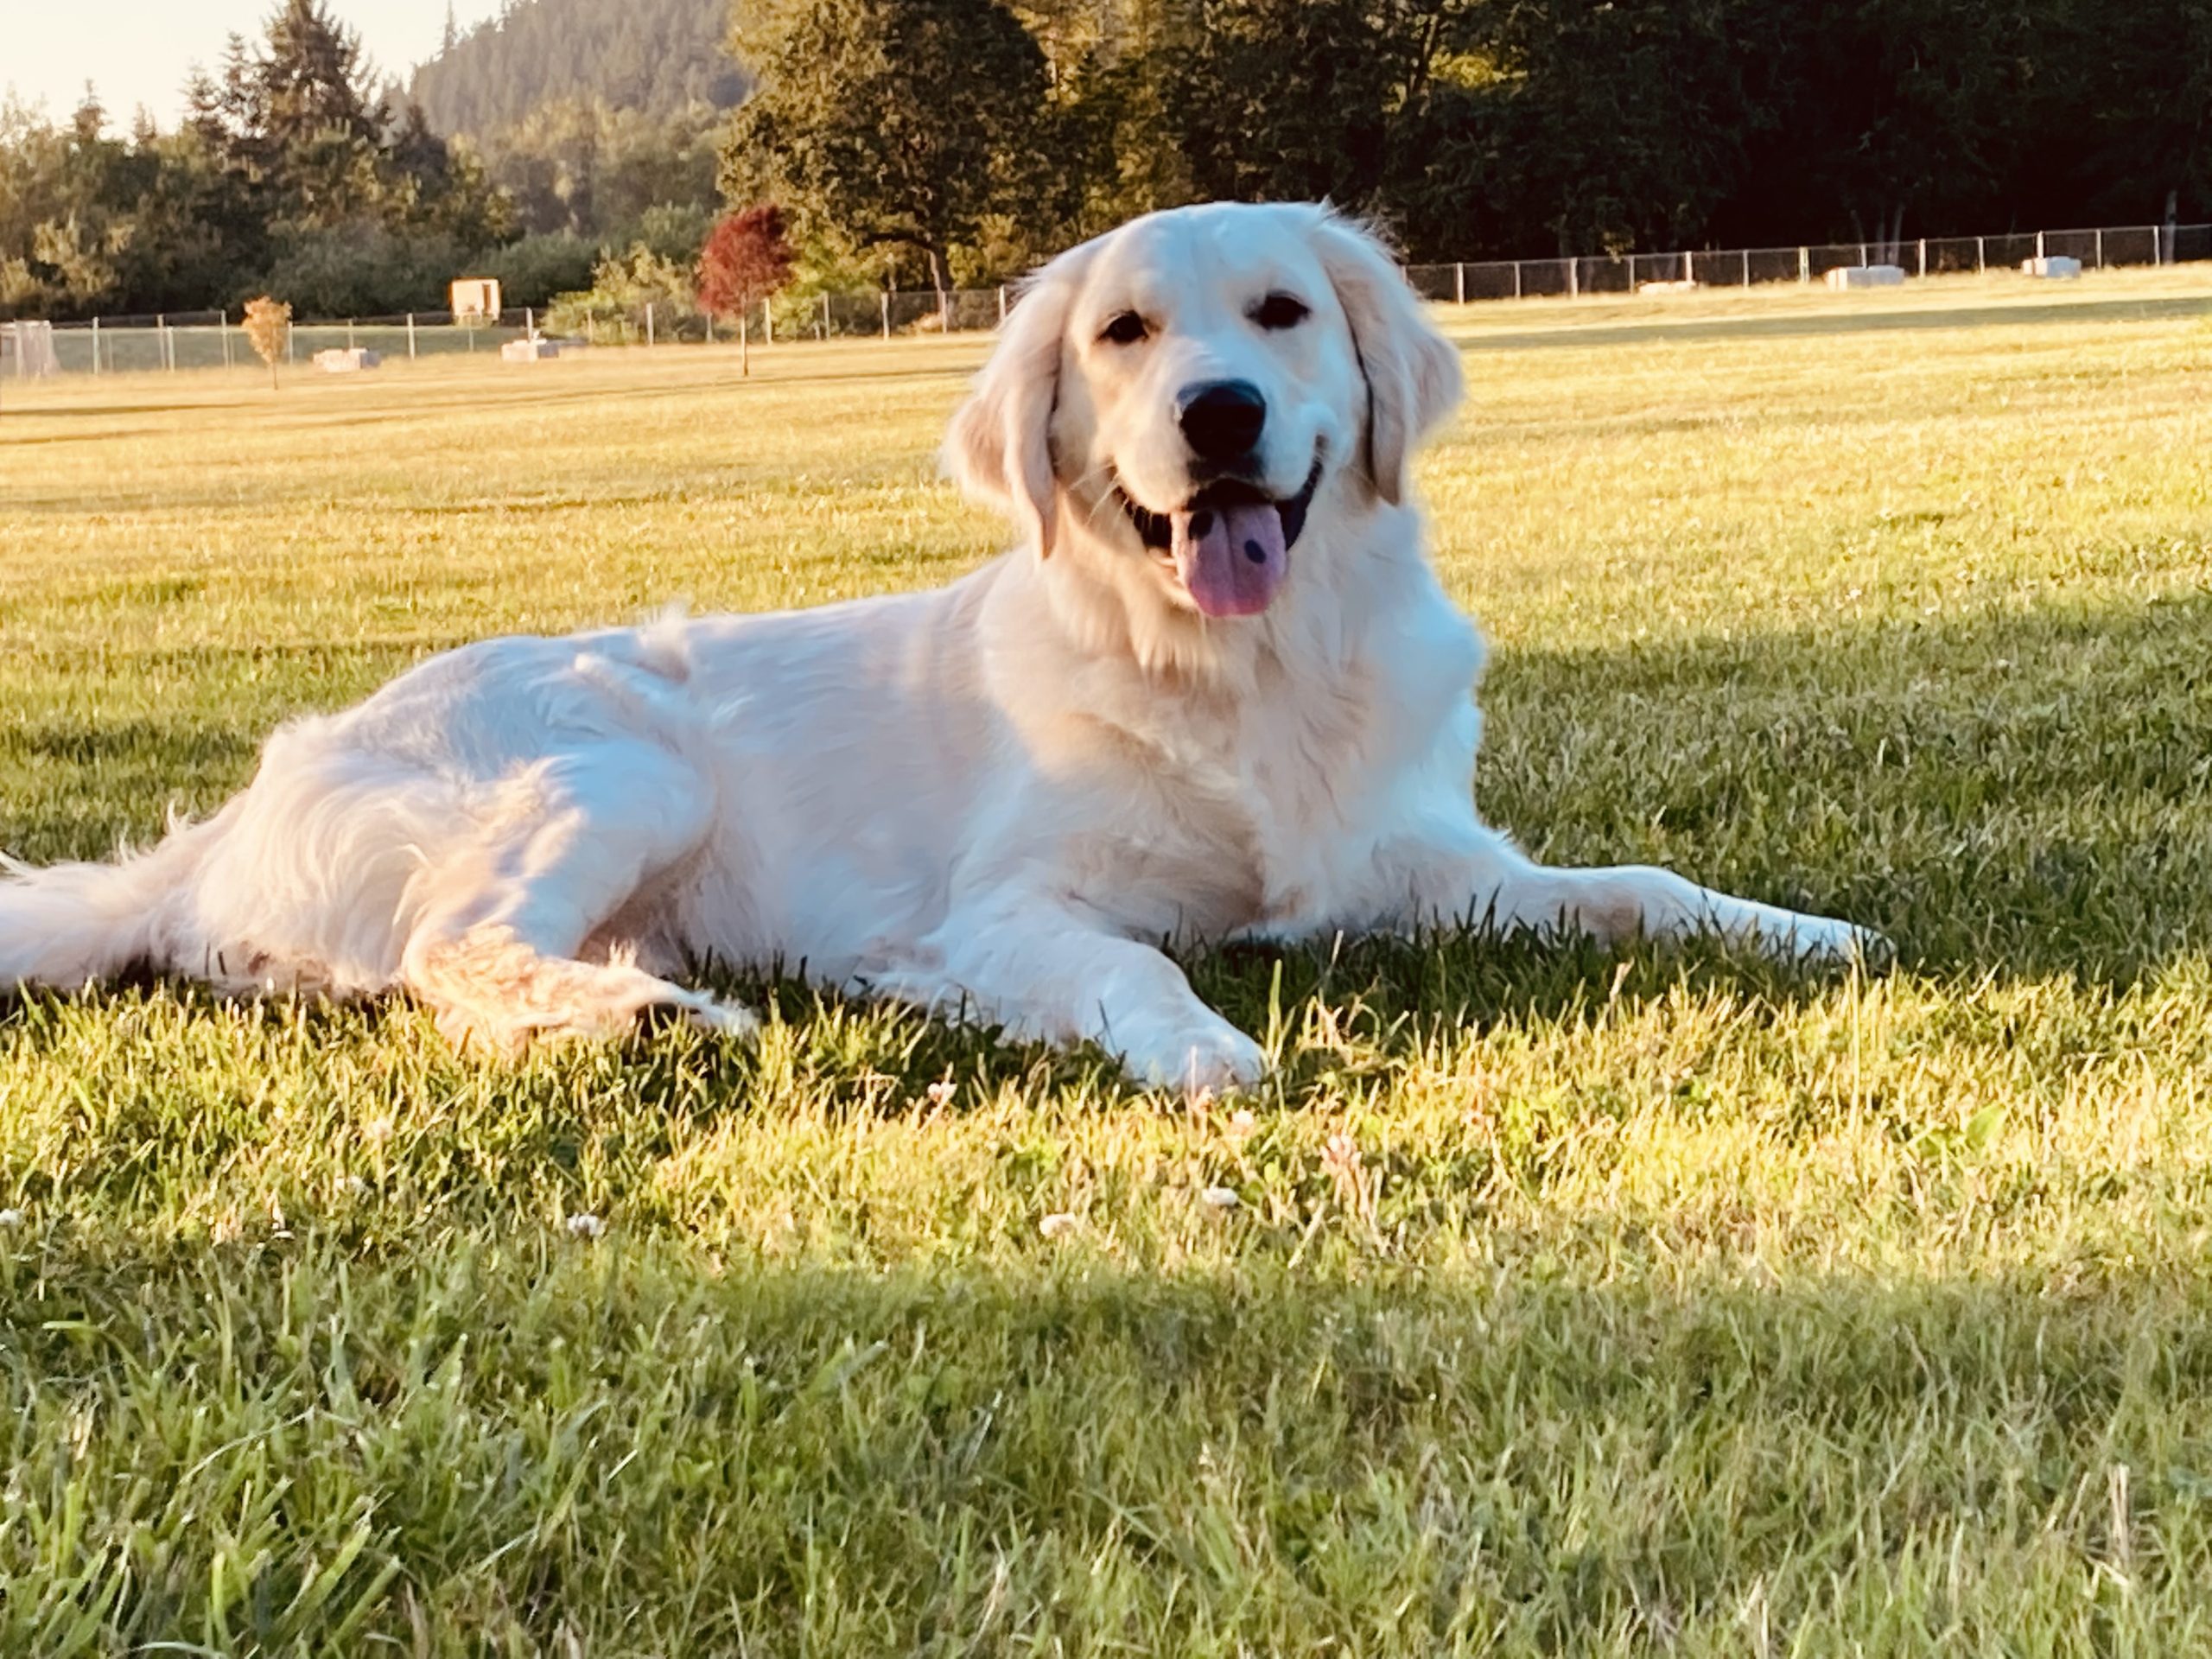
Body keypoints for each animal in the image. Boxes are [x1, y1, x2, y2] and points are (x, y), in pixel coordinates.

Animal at [0, 204, 1885, 1092]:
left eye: (1281, 312)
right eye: (1122, 334)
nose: (1217, 413)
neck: (1244, 678)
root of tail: (229, 819)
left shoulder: (1420, 858)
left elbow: (1642, 886)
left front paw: (1807, 931)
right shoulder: (1010, 909)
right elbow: (1142, 972)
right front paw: (1202, 1052)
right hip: (617, 758)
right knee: (448, 954)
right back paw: (645, 1023)